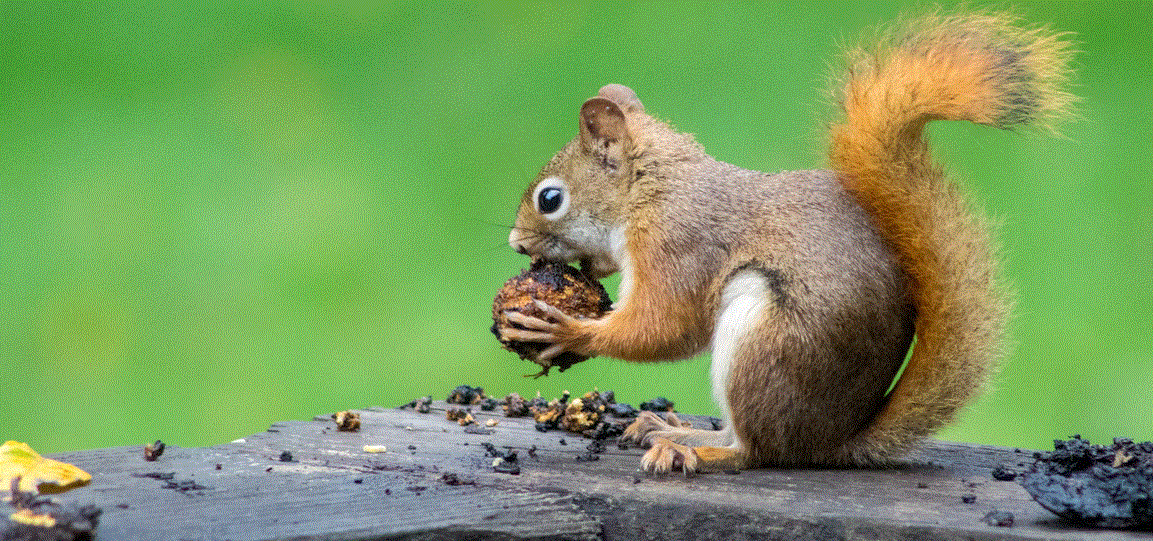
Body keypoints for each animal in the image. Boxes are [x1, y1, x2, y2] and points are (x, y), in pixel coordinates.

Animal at [498, 11, 1074, 473]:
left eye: (551, 199)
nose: (516, 243)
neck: (652, 189)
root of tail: (830, 442)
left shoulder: (679, 244)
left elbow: (665, 327)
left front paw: (568, 329)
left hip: (763, 341)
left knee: (756, 451)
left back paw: (693, 448)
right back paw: (668, 427)